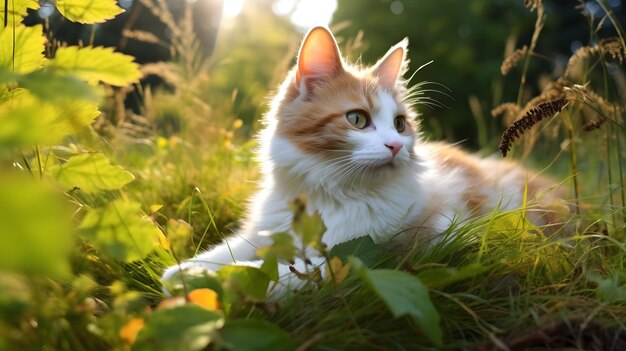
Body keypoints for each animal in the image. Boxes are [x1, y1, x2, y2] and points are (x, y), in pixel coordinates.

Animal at [161, 26, 560, 294]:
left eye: (400, 125)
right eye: (356, 119)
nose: (396, 146)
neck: (327, 191)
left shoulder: (360, 255)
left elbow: (274, 273)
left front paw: (217, 280)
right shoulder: (266, 228)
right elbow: (227, 250)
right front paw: (186, 272)